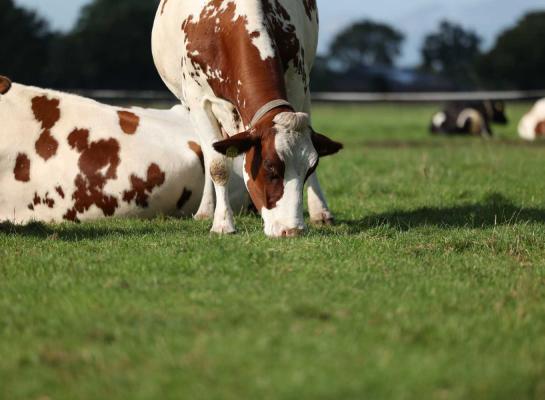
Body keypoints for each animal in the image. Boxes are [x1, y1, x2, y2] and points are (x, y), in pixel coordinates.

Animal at [151, 0, 342, 238]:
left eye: (310, 168)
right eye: (269, 167)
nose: (292, 230)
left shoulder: (297, 82)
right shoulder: (198, 100)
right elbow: (217, 165)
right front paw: (222, 223)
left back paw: (320, 211)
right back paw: (206, 210)